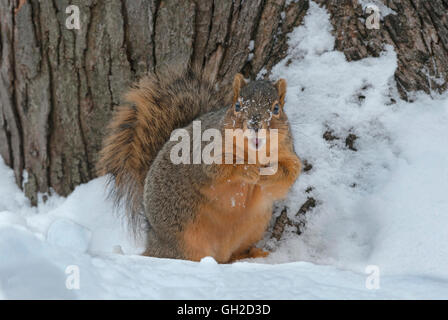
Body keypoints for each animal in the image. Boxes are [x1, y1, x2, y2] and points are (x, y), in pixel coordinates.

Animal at [97, 64, 300, 262]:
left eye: (276, 109)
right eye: (237, 105)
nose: (255, 124)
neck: (254, 152)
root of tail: (153, 239)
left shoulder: (288, 153)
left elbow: (289, 175)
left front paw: (268, 173)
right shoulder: (205, 153)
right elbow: (217, 170)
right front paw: (246, 169)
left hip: (254, 227)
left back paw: (251, 254)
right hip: (183, 234)